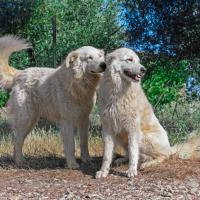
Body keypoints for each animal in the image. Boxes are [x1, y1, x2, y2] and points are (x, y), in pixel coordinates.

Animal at [0, 35, 106, 168]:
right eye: (89, 58)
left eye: (100, 56)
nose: (104, 65)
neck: (78, 84)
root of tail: (20, 73)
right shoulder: (67, 121)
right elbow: (71, 145)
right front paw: (72, 164)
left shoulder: (84, 119)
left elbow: (83, 142)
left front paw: (86, 160)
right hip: (26, 118)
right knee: (17, 140)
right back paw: (20, 162)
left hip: (31, 120)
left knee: (18, 139)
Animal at [96, 48, 171, 178]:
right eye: (129, 59)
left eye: (138, 61)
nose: (143, 70)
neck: (118, 92)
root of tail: (170, 147)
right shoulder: (108, 128)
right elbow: (107, 154)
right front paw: (103, 171)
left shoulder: (133, 128)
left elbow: (133, 151)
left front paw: (131, 170)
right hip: (120, 136)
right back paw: (122, 160)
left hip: (143, 137)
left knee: (163, 156)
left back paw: (148, 163)